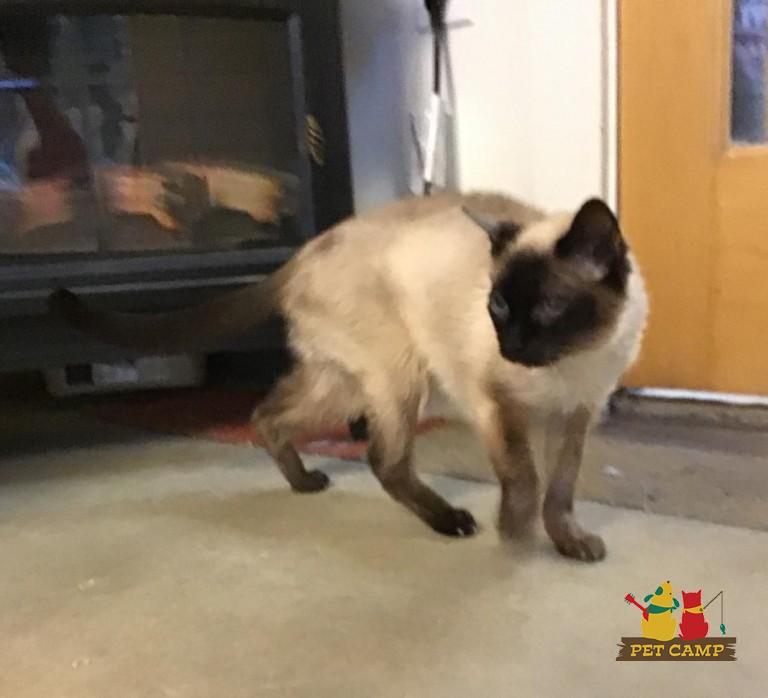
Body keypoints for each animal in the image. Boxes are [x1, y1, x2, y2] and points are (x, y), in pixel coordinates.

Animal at [50, 191, 648, 561]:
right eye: (498, 305)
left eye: (547, 307)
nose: (512, 346)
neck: (569, 365)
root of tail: (300, 254)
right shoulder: (497, 406)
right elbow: (524, 481)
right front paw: (515, 538)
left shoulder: (575, 416)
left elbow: (560, 492)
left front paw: (570, 544)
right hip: (403, 383)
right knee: (382, 460)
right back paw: (449, 520)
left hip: (343, 388)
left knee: (267, 415)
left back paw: (304, 484)